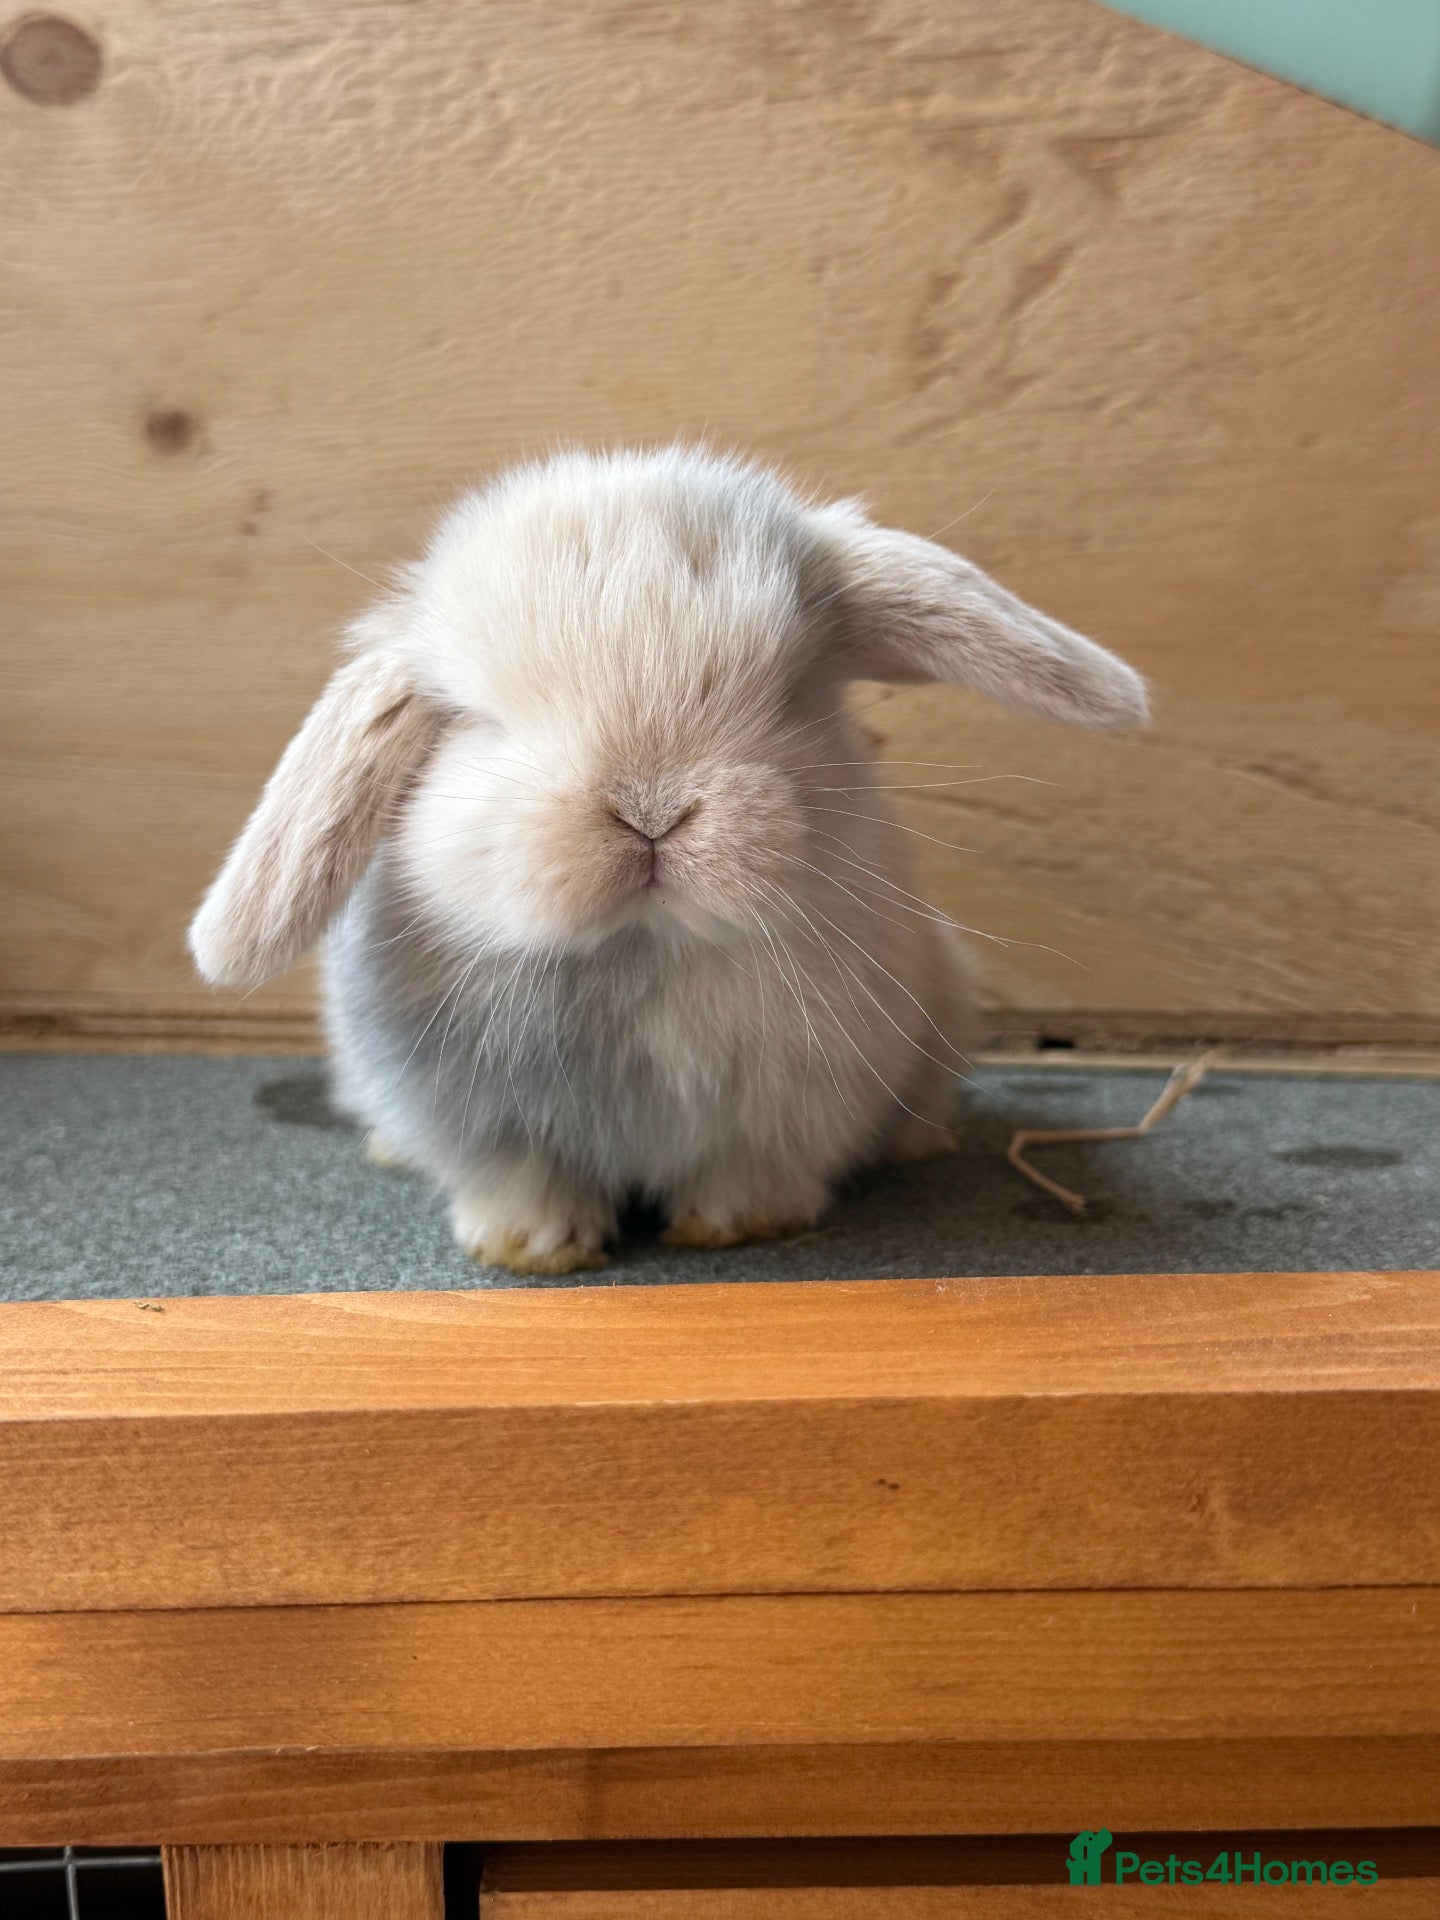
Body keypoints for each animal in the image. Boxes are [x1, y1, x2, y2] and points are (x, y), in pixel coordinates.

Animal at [190, 445, 1146, 1273]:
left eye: (792, 695)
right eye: (480, 723)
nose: (650, 812)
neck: (643, 949)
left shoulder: (788, 1110)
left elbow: (751, 1173)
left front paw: (735, 1226)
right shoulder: (485, 1125)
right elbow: (524, 1183)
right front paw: (534, 1248)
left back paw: (918, 1140)